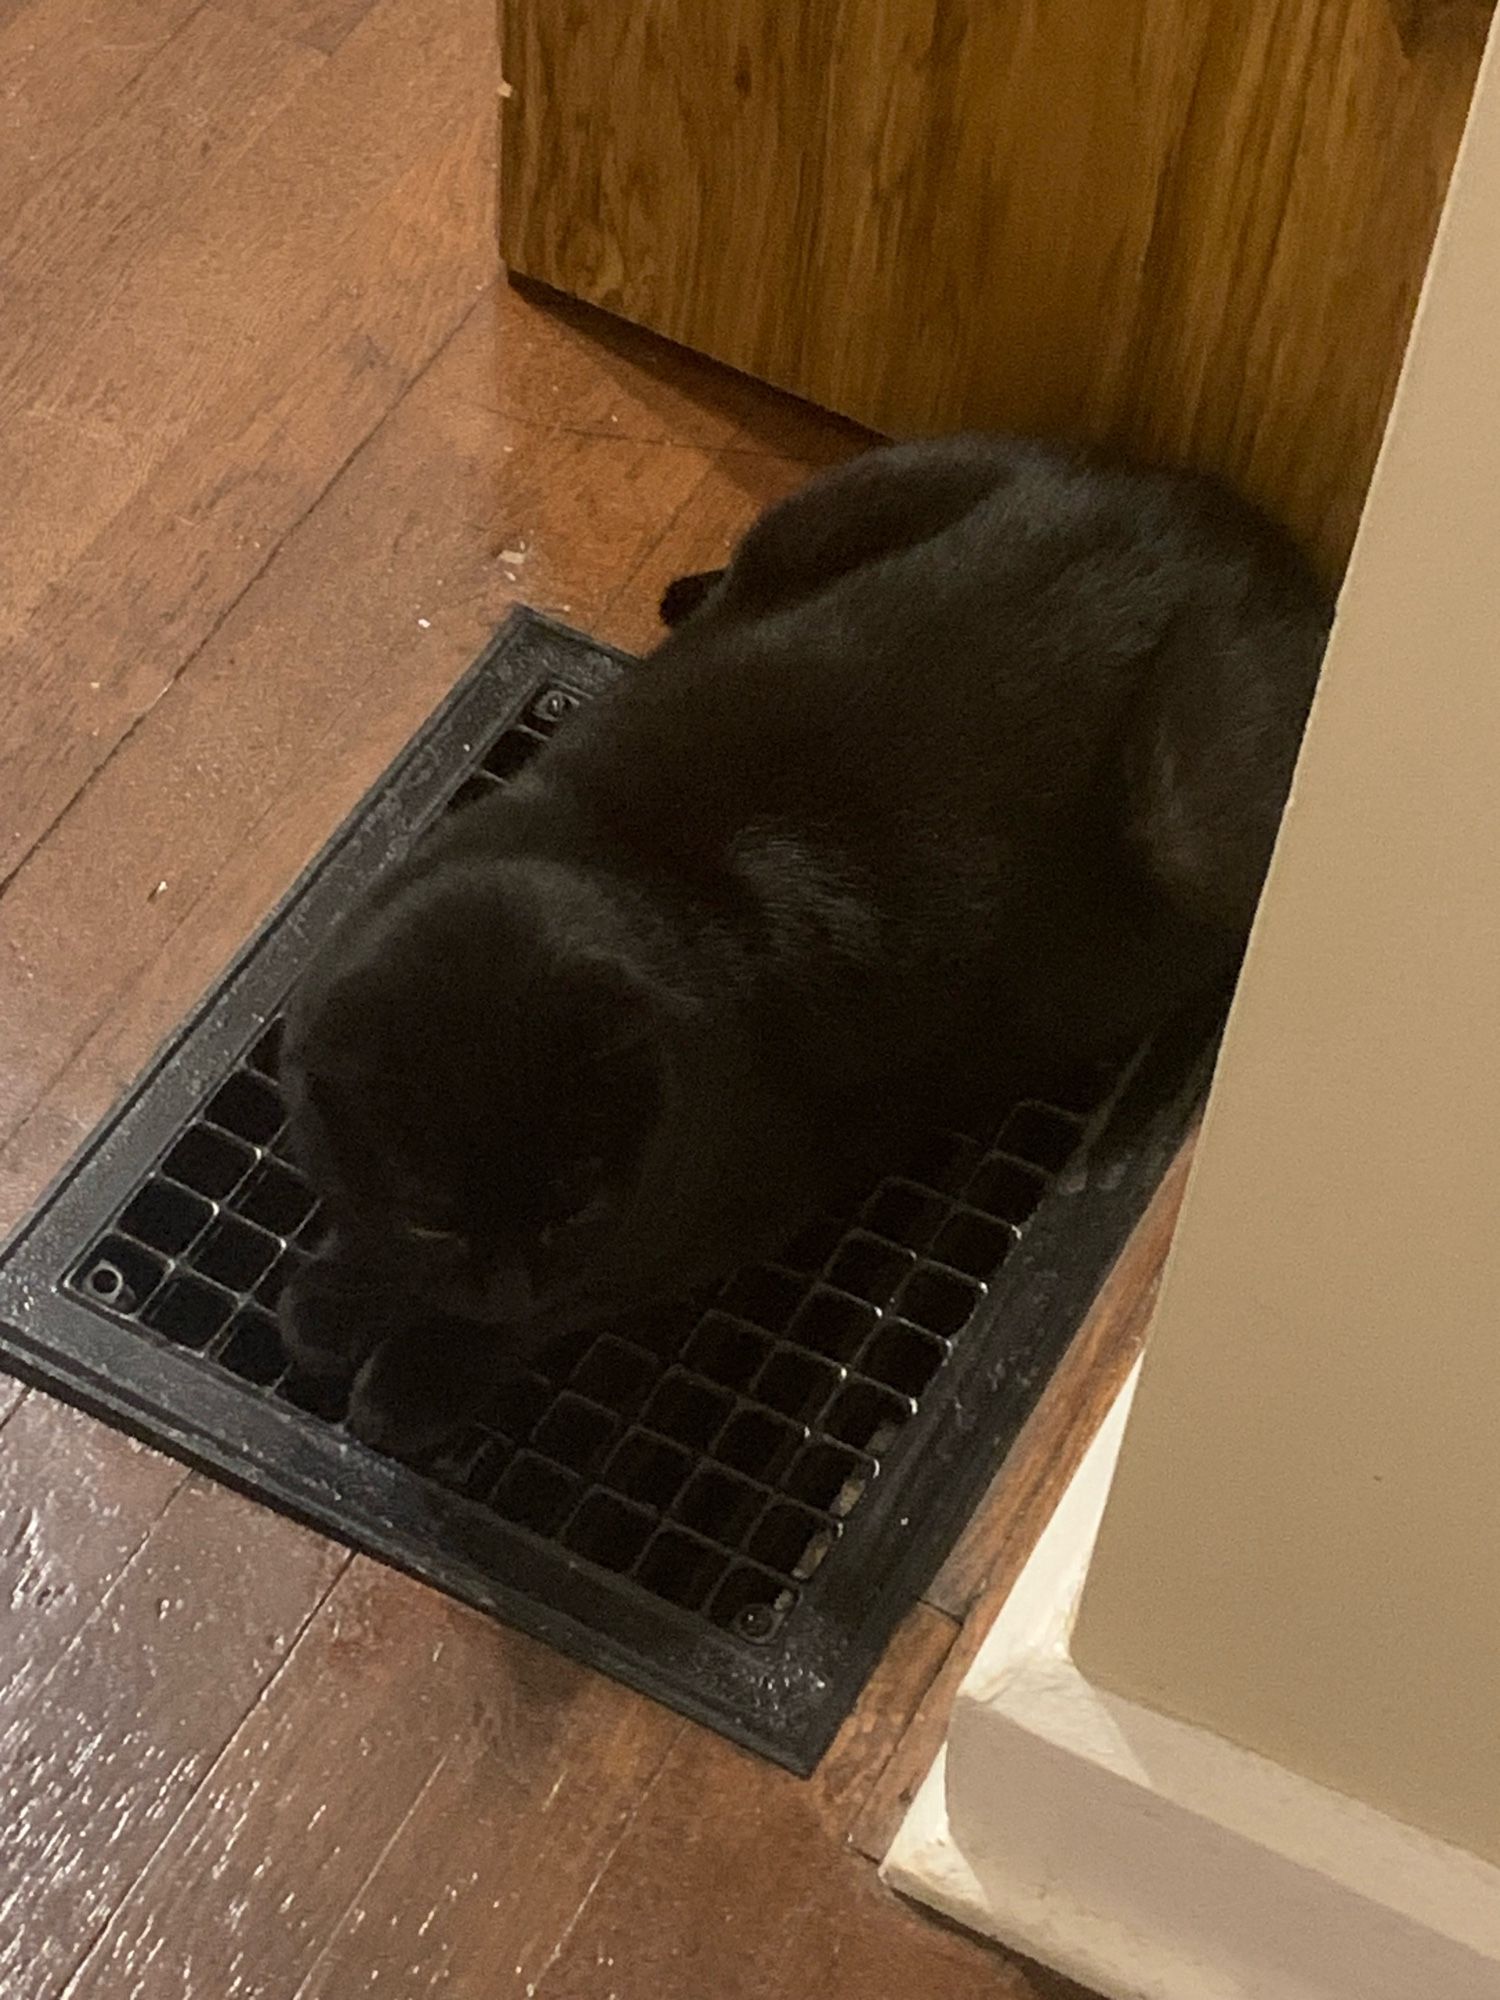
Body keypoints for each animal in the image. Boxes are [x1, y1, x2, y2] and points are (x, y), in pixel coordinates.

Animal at [276, 434, 1336, 1456]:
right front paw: (337, 1288)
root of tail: (1239, 530)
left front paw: (424, 1366)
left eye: (574, 1204)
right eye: (431, 1217)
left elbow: (571, 1300)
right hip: (818, 513)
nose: (504, 1285)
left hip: (1191, 833)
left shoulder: (721, 1212)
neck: (623, 860)